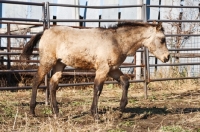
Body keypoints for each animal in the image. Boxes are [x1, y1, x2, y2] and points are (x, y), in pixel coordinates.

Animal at [21, 21, 169, 119]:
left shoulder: (112, 69)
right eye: (162, 39)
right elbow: (97, 88)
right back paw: (32, 111)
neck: (116, 41)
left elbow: (125, 82)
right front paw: (95, 114)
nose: (167, 57)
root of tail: (45, 31)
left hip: (59, 64)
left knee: (52, 84)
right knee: (36, 80)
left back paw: (57, 113)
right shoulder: (103, 69)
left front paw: (120, 110)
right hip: (47, 61)